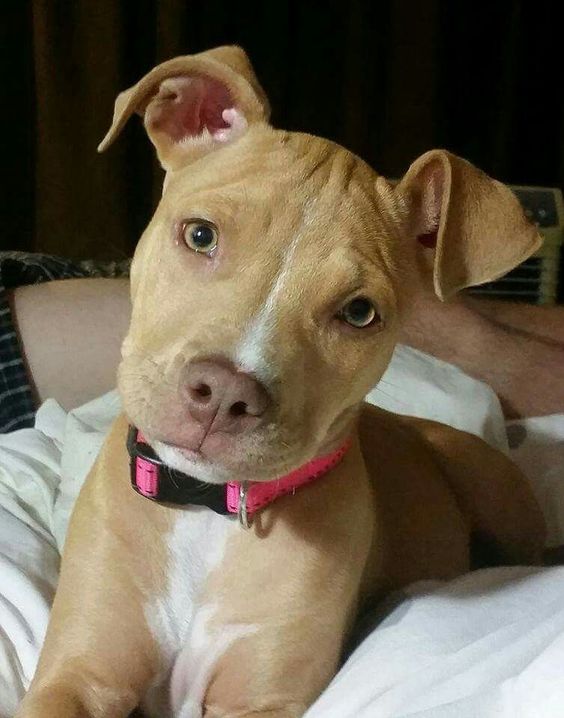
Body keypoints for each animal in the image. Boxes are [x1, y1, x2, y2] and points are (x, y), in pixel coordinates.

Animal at [17, 46, 548, 718]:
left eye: (358, 312)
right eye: (200, 235)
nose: (223, 394)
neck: (208, 514)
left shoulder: (259, 698)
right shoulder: (79, 672)